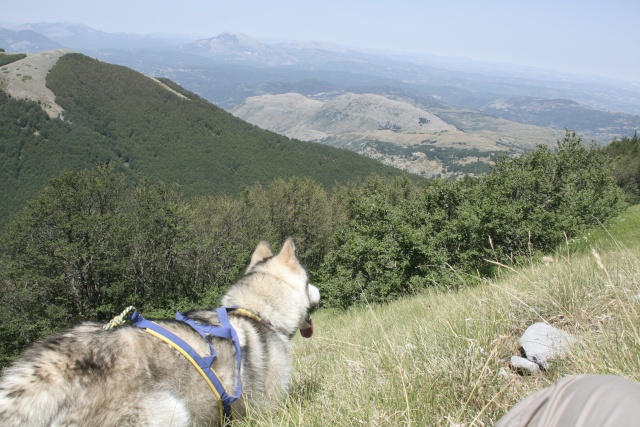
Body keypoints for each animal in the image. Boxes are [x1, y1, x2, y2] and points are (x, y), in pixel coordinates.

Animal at [0, 239, 320, 426]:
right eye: (308, 282)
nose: (321, 292)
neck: (255, 311)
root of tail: (46, 369)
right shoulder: (267, 410)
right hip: (171, 411)